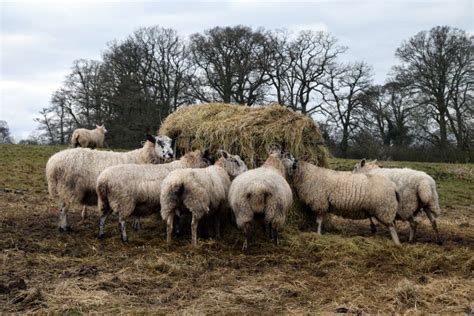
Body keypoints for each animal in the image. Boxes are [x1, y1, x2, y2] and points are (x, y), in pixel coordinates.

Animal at [44, 134, 173, 232]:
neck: (143, 158)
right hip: (68, 187)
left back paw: (63, 226)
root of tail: (52, 163)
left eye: (171, 143)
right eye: (160, 142)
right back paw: (65, 228)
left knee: (61, 207)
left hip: (63, 188)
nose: (171, 154)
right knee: (63, 209)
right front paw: (136, 225)